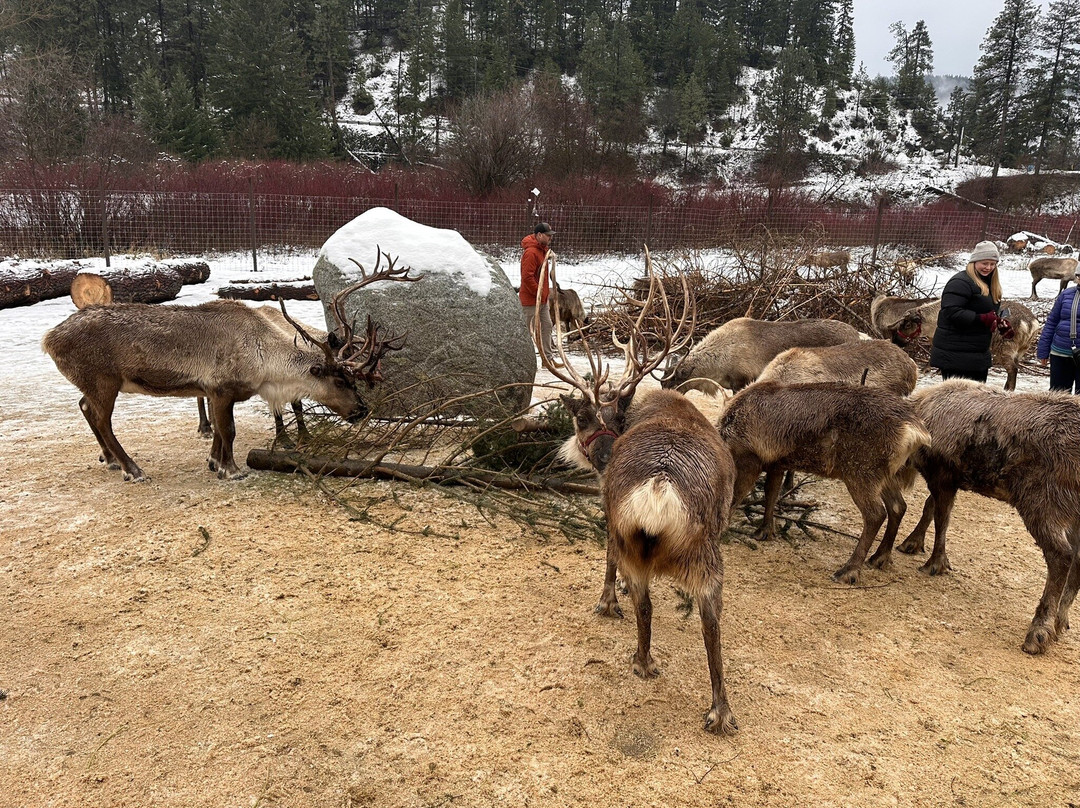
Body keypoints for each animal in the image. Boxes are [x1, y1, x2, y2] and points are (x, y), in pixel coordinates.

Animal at [42, 250, 421, 481]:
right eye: (341, 381)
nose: (362, 411)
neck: (266, 359)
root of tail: (48, 338)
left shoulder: (212, 391)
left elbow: (220, 432)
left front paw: (214, 462)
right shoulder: (223, 389)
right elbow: (229, 431)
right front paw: (232, 469)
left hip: (93, 384)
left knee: (84, 407)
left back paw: (108, 459)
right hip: (104, 381)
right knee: (101, 419)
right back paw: (132, 469)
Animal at [540, 248, 739, 735]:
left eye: (580, 419)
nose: (587, 454)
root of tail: (659, 486)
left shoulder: (608, 513)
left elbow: (608, 561)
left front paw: (607, 601)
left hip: (647, 539)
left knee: (654, 607)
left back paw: (644, 661)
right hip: (706, 553)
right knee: (710, 626)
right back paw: (718, 709)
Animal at [864, 380, 1080, 655]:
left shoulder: (942, 474)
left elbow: (942, 519)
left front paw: (936, 563)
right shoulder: (949, 479)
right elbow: (930, 508)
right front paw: (913, 543)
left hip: (1042, 500)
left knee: (1061, 555)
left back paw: (1039, 632)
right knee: (1078, 558)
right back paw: (1061, 621)